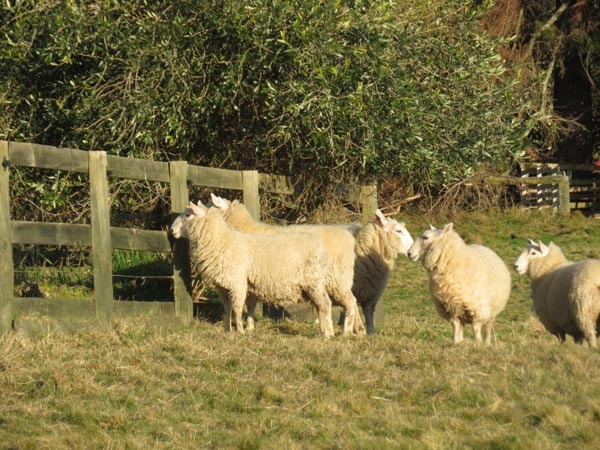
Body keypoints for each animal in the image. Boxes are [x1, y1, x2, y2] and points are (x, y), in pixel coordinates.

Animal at [171, 201, 336, 338]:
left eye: (188, 214)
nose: (171, 230)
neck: (222, 242)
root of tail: (319, 245)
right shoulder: (223, 287)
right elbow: (227, 308)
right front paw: (227, 330)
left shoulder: (237, 284)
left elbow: (237, 309)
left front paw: (240, 331)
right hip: (311, 285)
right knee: (319, 306)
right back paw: (322, 331)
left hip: (314, 281)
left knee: (325, 304)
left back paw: (328, 334)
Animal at [211, 195, 366, 336]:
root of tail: (349, 235)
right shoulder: (253, 280)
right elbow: (251, 304)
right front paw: (250, 326)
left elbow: (250, 304)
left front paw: (248, 327)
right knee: (352, 301)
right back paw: (359, 329)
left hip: (338, 279)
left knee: (350, 302)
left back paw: (347, 331)